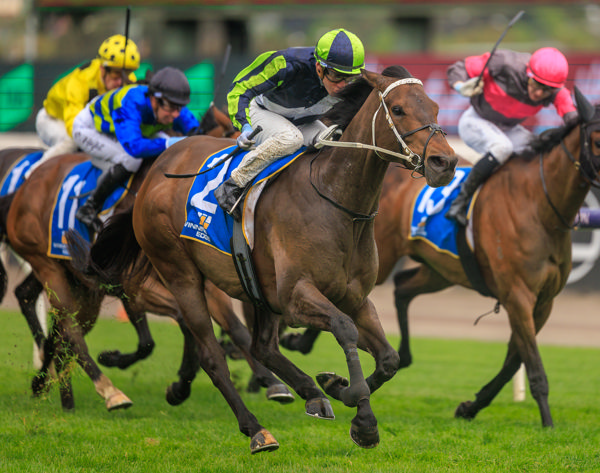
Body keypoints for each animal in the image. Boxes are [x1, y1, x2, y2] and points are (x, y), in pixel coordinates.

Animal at [86, 68, 458, 452]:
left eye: (435, 107)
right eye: (398, 109)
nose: (445, 163)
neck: (335, 201)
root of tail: (158, 168)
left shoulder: (354, 297)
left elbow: (388, 359)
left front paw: (337, 387)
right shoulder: (296, 296)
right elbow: (344, 329)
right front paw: (361, 414)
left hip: (257, 288)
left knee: (261, 346)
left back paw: (310, 392)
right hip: (181, 274)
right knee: (212, 356)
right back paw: (256, 429)